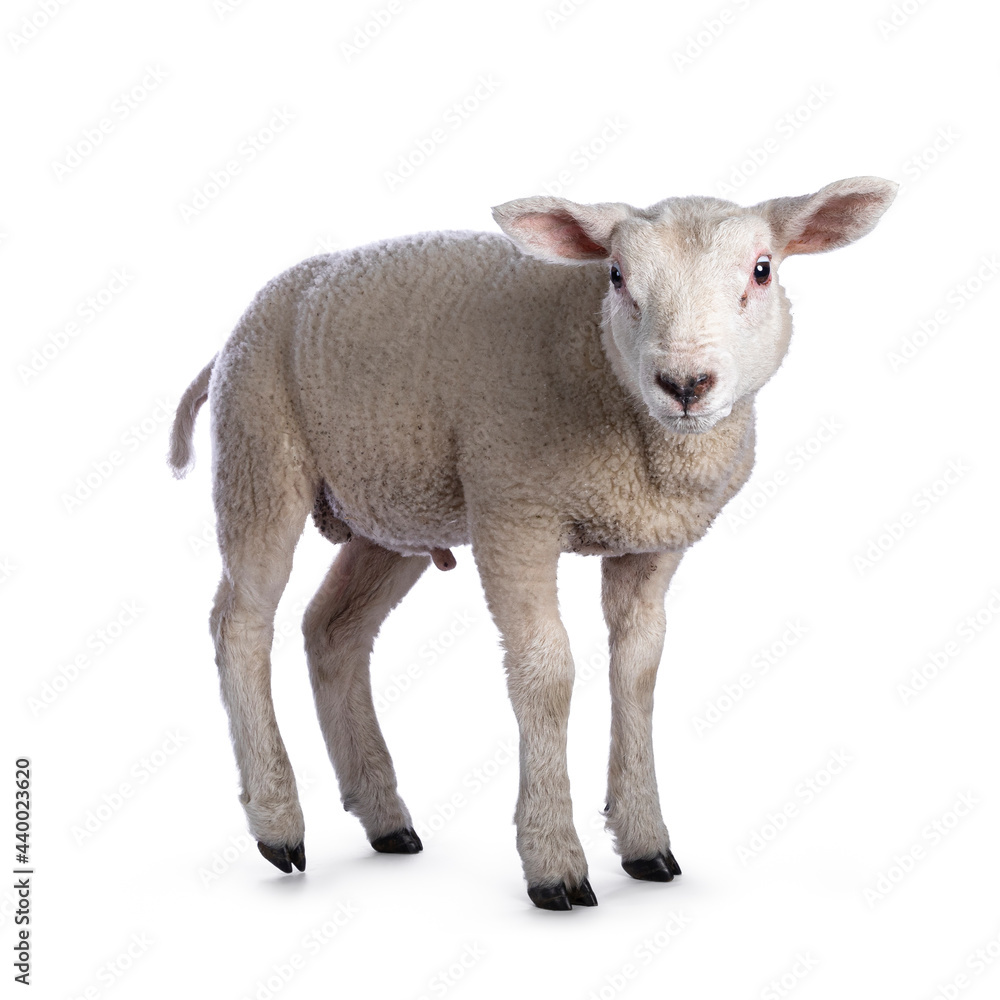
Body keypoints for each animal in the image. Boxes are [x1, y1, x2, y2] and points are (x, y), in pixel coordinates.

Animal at [169, 176, 896, 909]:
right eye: (616, 275)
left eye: (762, 270)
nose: (685, 384)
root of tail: (233, 336)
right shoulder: (513, 514)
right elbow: (548, 673)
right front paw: (553, 861)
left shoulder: (651, 543)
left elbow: (637, 671)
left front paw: (645, 841)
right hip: (260, 451)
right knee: (241, 623)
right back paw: (277, 821)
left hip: (390, 509)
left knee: (332, 629)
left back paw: (384, 816)